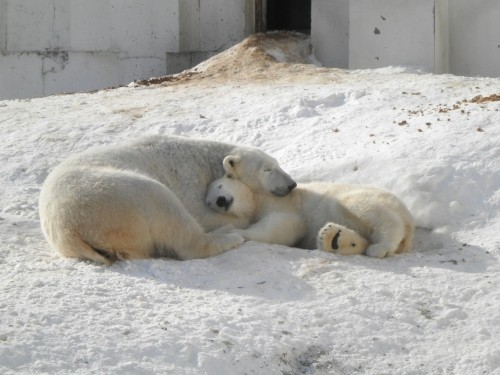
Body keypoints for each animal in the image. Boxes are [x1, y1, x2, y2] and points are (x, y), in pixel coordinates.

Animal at [40, 135, 296, 264]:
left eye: (277, 164)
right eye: (268, 169)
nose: (291, 184)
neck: (204, 158)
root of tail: (69, 231)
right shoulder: (188, 178)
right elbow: (200, 213)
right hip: (116, 195)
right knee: (169, 213)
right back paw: (229, 236)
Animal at [204, 177, 414, 258]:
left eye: (220, 186)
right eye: (209, 202)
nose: (220, 200)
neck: (259, 199)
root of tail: (409, 218)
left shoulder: (285, 205)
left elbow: (280, 228)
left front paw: (236, 231)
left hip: (367, 198)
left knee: (366, 210)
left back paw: (380, 247)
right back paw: (334, 239)